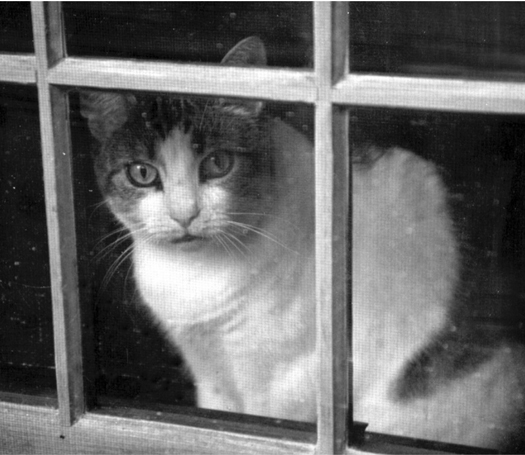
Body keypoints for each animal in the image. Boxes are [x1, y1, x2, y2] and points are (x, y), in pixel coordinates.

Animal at [80, 36, 520, 452]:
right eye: (141, 173)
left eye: (218, 164)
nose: (184, 214)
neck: (195, 277)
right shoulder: (210, 374)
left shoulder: (286, 384)